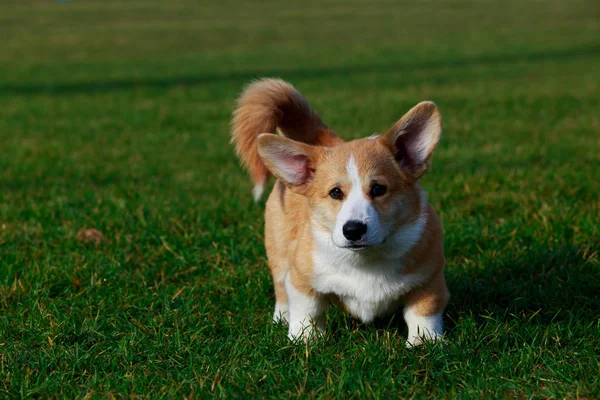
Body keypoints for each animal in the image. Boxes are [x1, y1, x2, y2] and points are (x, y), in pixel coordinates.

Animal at [232, 79, 448, 346]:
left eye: (378, 189)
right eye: (335, 193)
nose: (353, 230)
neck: (365, 261)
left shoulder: (430, 279)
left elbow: (424, 311)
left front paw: (424, 343)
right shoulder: (301, 280)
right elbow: (307, 310)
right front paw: (304, 340)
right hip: (278, 253)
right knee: (281, 290)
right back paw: (281, 318)